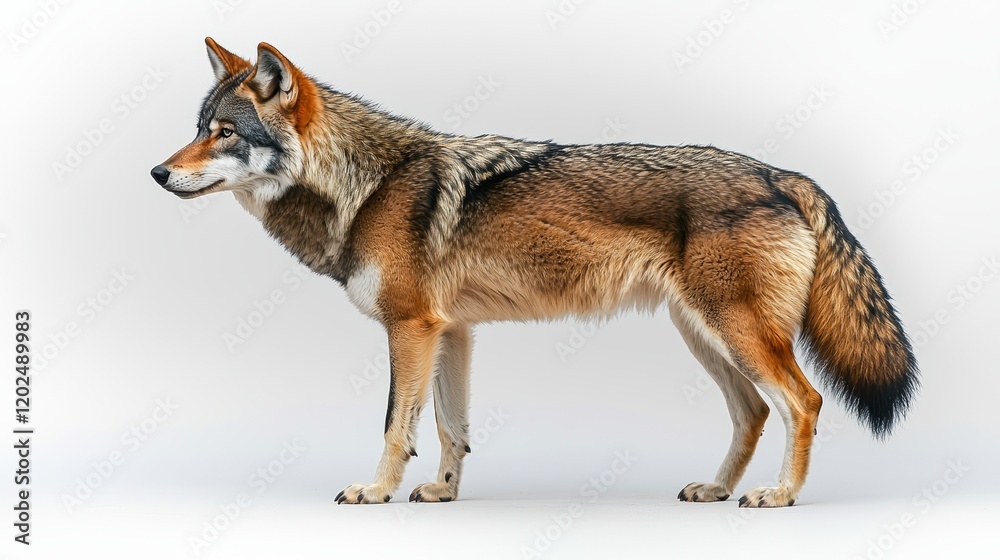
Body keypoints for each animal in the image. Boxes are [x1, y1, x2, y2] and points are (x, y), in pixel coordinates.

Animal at [151, 38, 918, 507]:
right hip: (704, 336)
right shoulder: (451, 332)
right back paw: (716, 490)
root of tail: (782, 175)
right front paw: (443, 493)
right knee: (755, 412)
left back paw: (778, 497)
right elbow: (451, 426)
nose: (157, 172)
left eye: (224, 133)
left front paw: (375, 493)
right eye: (197, 128)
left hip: (735, 333)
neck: (364, 186)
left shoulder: (410, 328)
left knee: (803, 402)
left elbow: (396, 425)